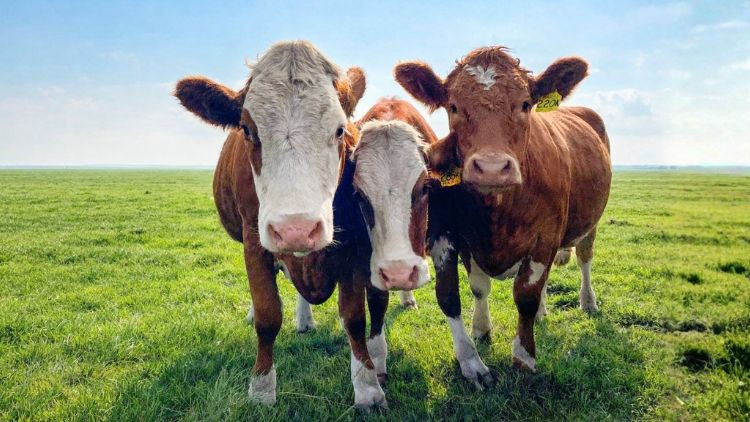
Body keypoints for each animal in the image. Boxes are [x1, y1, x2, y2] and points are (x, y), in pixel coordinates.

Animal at [394, 46, 612, 388]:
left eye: (525, 104)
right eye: (453, 106)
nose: (492, 168)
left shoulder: (545, 237)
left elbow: (525, 295)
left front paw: (524, 357)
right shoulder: (456, 237)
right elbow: (468, 290)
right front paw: (479, 338)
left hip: (590, 223)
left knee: (584, 259)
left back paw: (587, 302)